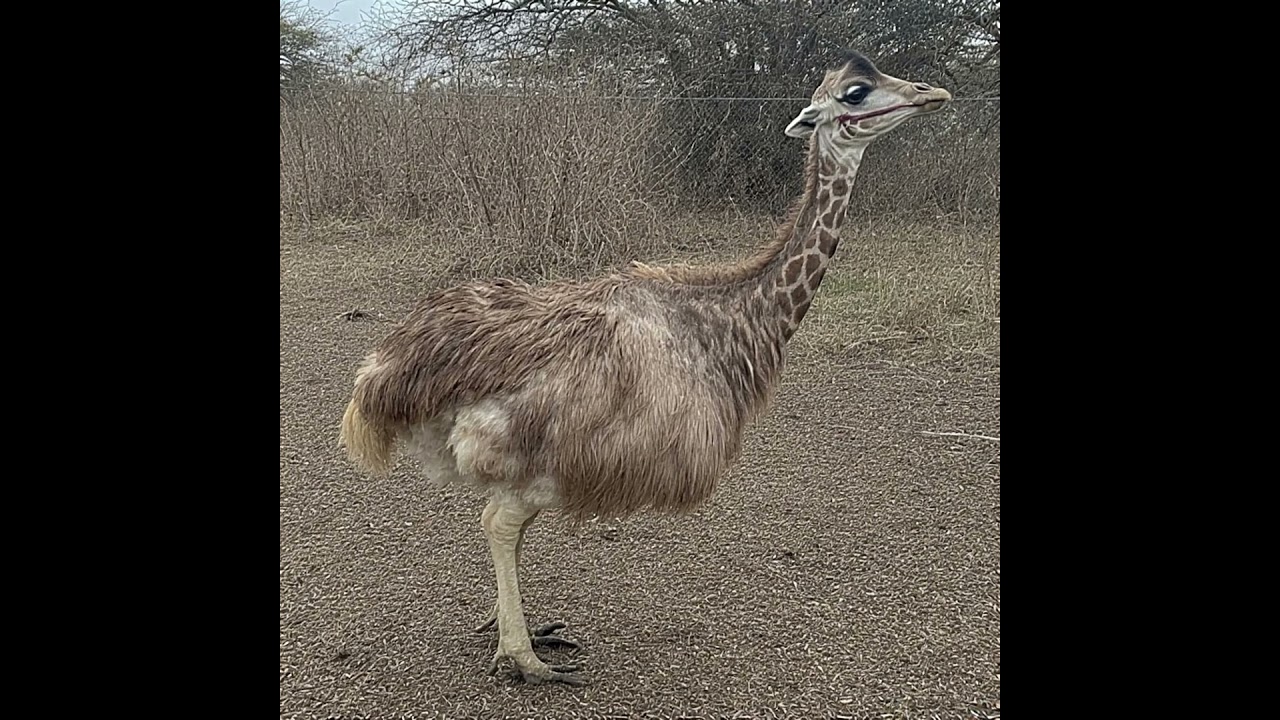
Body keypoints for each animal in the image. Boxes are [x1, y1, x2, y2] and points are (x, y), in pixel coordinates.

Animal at [339, 50, 951, 687]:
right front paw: (519, 650)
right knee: (498, 520)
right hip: (536, 449)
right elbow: (503, 522)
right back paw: (527, 658)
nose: (932, 93)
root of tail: (387, 374)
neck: (727, 320)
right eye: (857, 92)